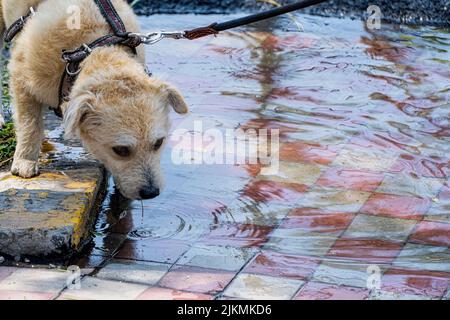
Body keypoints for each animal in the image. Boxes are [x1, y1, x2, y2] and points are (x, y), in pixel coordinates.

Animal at [0, 0, 187, 199]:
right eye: (120, 150)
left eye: (158, 143)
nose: (151, 193)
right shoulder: (21, 76)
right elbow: (30, 123)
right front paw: (25, 160)